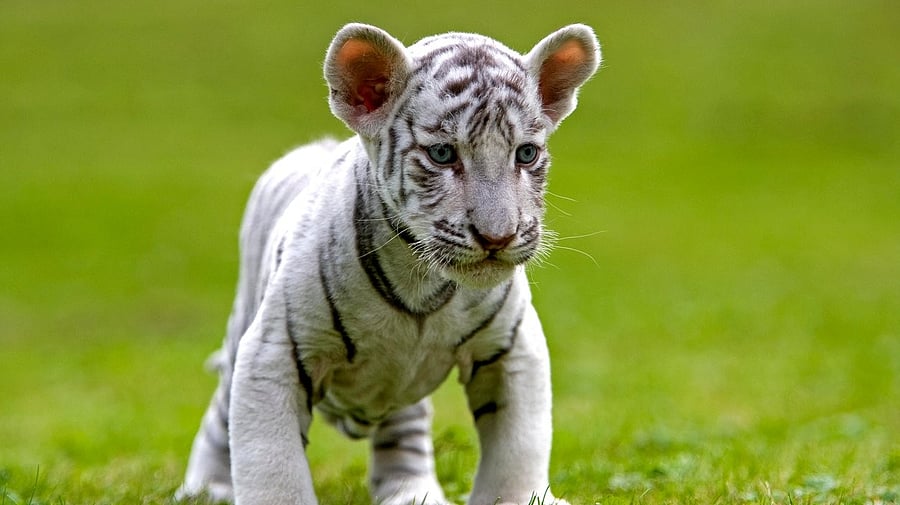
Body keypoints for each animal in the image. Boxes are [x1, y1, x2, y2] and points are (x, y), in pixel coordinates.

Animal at [178, 22, 600, 505]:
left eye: (525, 154)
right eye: (442, 155)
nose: (498, 237)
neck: (420, 280)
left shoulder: (512, 347)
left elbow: (519, 448)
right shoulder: (274, 351)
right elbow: (272, 463)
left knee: (404, 435)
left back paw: (413, 493)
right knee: (219, 420)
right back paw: (205, 488)